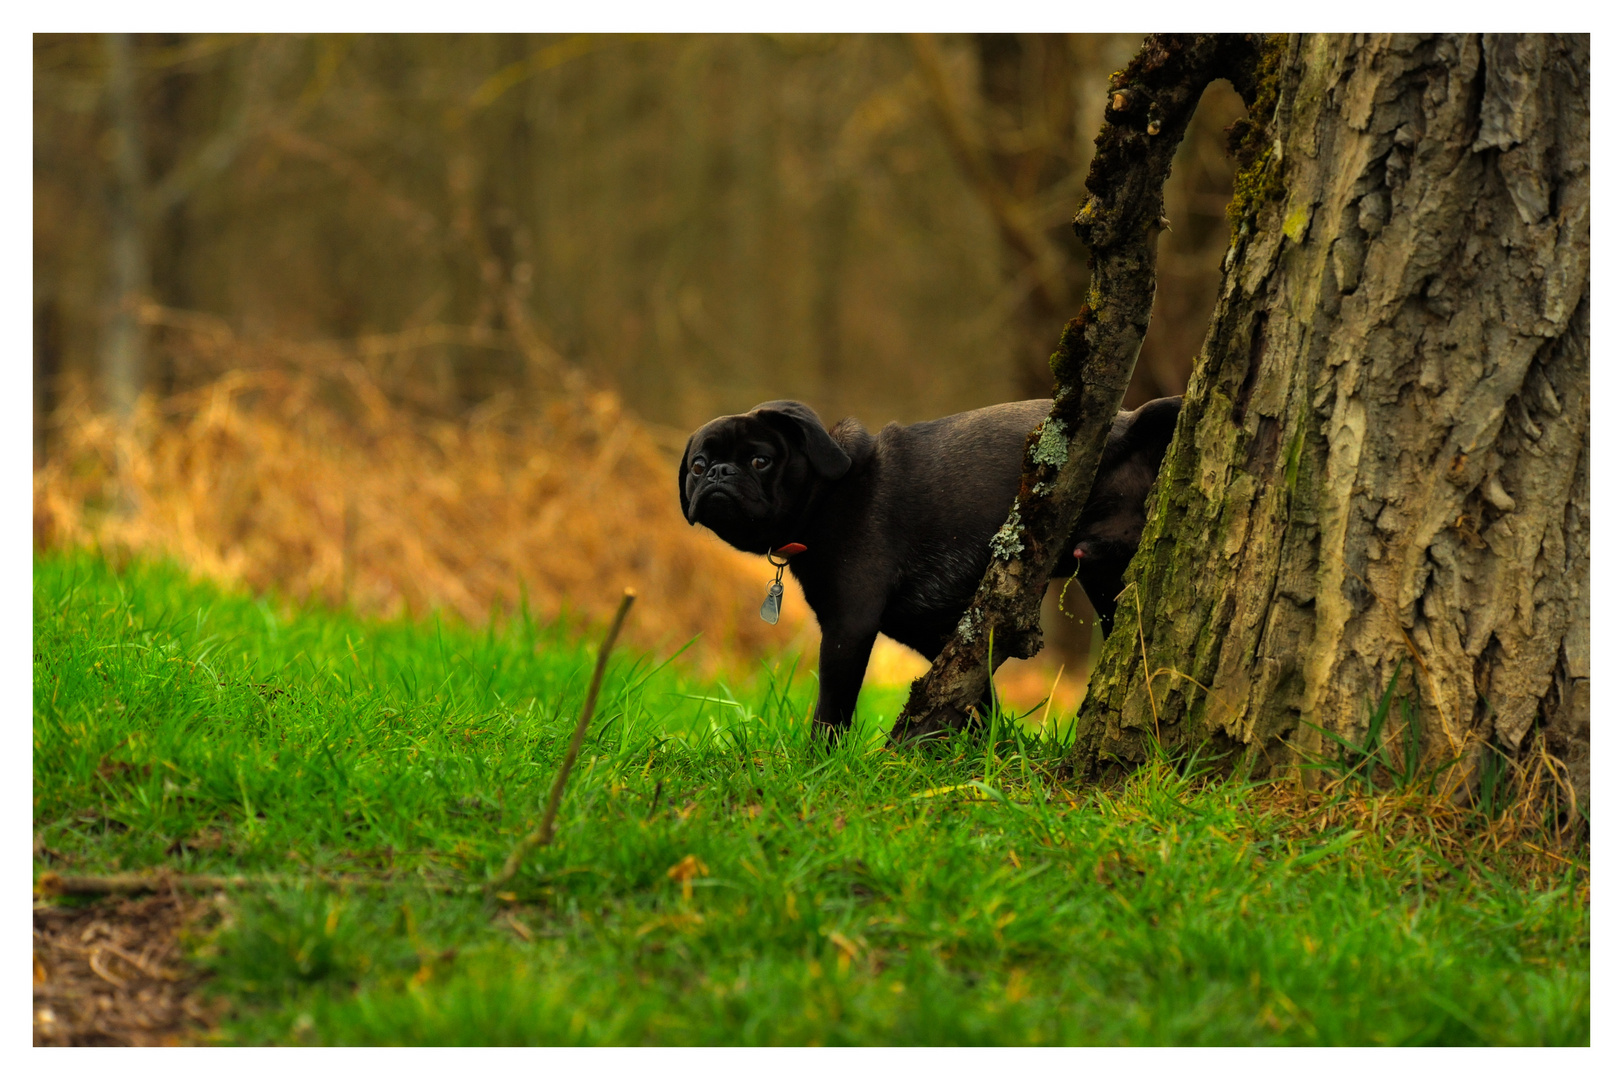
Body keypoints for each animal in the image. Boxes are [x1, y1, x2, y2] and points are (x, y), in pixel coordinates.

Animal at [675, 396, 1181, 734]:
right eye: (697, 467)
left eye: (761, 460)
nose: (718, 474)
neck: (828, 497)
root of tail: (1130, 424)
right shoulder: (937, 634)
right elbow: (972, 699)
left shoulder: (848, 629)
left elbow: (832, 708)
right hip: (1106, 580)